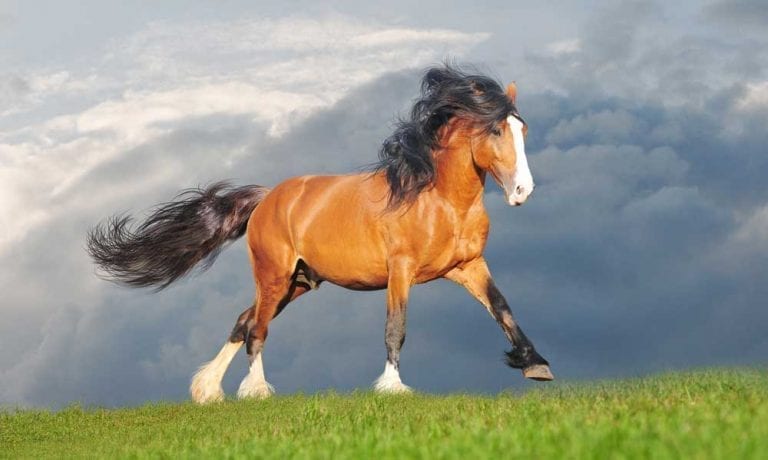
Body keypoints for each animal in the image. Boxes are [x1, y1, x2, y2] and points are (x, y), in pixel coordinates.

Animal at [87, 64, 554, 403]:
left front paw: (536, 365)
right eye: (495, 130)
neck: (438, 200)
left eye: (523, 129)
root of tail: (267, 198)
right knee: (257, 329)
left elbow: (502, 309)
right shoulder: (400, 271)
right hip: (274, 276)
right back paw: (255, 391)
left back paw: (209, 391)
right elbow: (396, 326)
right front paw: (392, 387)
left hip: (298, 282)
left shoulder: (468, 266)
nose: (523, 191)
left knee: (243, 320)